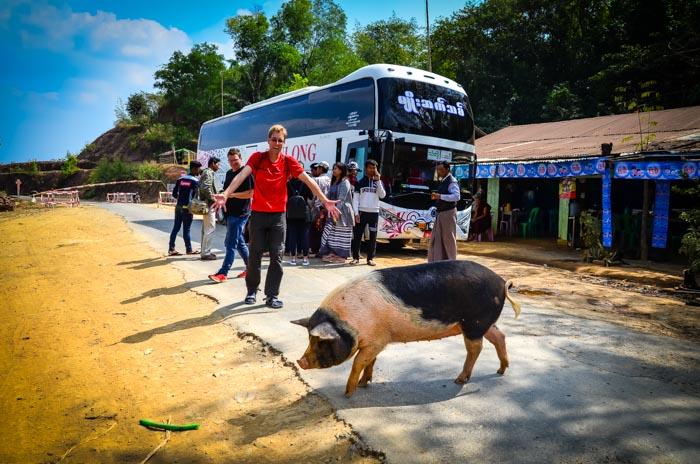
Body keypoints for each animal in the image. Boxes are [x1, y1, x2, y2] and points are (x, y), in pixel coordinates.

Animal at [290, 260, 520, 396]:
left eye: (321, 341)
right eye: (309, 339)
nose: (300, 361)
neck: (348, 324)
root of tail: (501, 282)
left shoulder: (377, 340)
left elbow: (358, 363)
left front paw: (348, 392)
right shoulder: (375, 342)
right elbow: (370, 362)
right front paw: (365, 383)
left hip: (474, 323)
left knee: (475, 348)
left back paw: (459, 380)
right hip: (484, 323)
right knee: (500, 336)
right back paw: (501, 370)